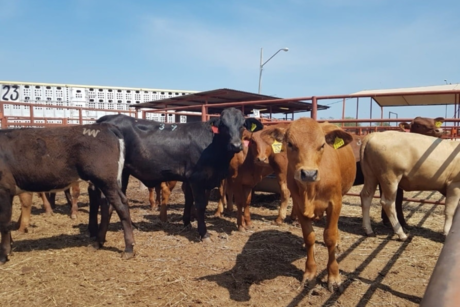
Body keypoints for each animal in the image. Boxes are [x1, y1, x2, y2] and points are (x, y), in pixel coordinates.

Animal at [94, 107, 264, 241]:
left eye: (242, 125)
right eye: (223, 125)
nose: (236, 145)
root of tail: (107, 118)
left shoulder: (196, 180)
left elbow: (189, 199)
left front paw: (187, 222)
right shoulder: (197, 178)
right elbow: (200, 205)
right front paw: (204, 233)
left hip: (123, 173)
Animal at [270, 119, 356, 292]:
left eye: (322, 145)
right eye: (290, 144)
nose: (308, 174)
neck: (310, 190)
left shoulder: (335, 203)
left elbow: (329, 237)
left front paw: (334, 277)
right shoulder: (299, 206)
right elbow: (309, 237)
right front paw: (309, 273)